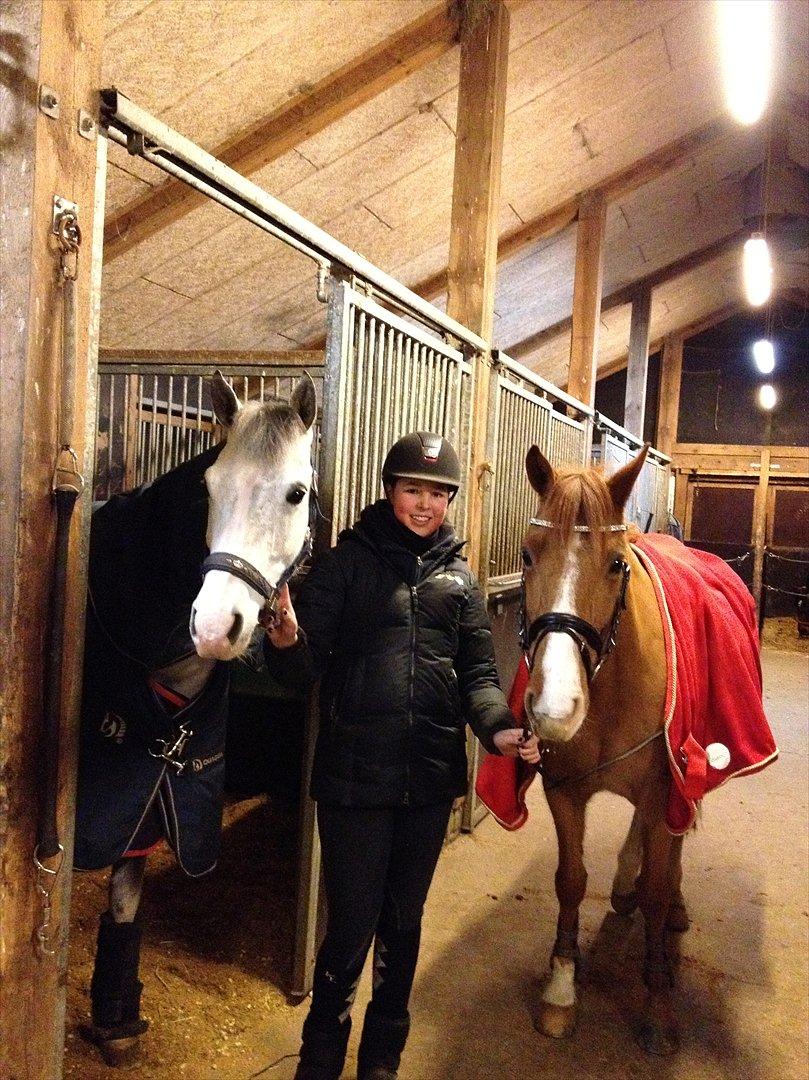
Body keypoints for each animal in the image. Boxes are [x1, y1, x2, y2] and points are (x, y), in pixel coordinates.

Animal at [74, 371, 317, 1062]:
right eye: (210, 486)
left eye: (297, 493)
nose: (213, 627)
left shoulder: (149, 785)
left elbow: (125, 895)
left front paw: (115, 1019)